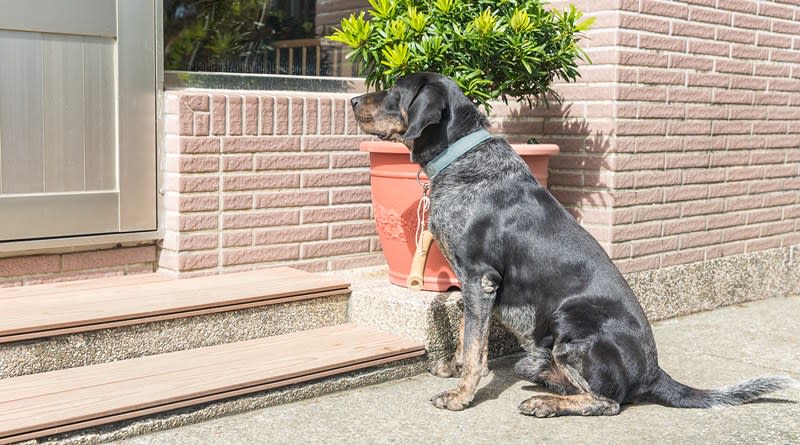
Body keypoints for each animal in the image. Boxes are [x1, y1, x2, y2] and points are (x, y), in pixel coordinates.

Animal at [350, 71, 792, 414]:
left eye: (394, 90)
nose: (352, 99)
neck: (460, 159)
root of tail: (653, 372)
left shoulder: (479, 277)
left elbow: (475, 347)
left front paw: (461, 395)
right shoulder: (470, 283)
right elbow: (467, 336)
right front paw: (454, 370)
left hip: (572, 322)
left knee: (608, 402)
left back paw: (546, 401)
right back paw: (543, 378)